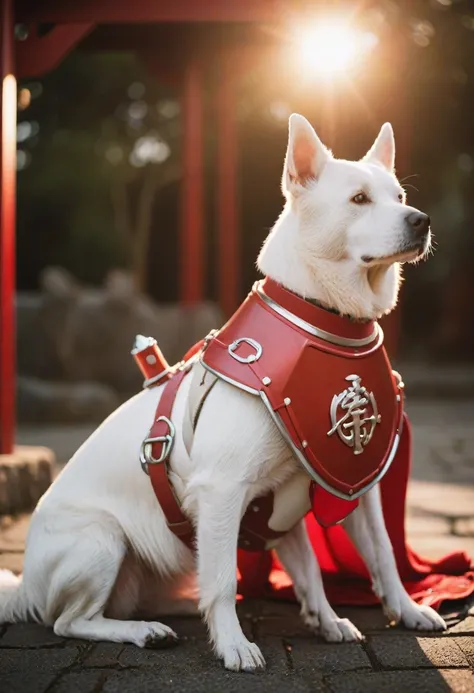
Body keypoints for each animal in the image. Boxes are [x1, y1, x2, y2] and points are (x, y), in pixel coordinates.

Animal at [0, 115, 446, 672]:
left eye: (399, 195)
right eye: (359, 199)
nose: (421, 220)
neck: (328, 320)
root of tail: (25, 588)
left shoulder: (340, 494)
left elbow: (369, 559)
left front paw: (380, 614)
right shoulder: (222, 492)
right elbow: (221, 577)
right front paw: (235, 644)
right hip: (101, 541)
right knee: (69, 620)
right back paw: (145, 631)